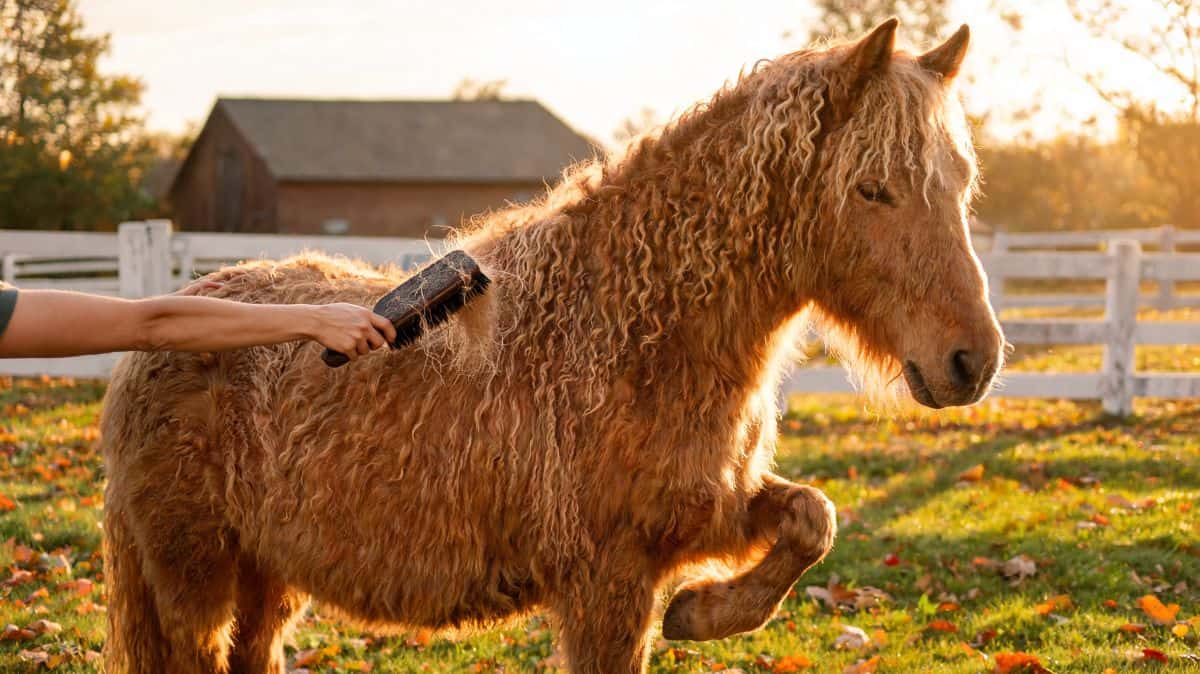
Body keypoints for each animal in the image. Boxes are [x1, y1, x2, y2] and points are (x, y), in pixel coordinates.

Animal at [101, 19, 1002, 674]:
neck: (631, 334)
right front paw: (701, 613)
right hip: (196, 581)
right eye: (873, 189)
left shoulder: (705, 515)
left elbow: (814, 518)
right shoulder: (608, 583)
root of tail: (158, 329)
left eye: (962, 183)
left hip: (266, 577)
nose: (974, 361)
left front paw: (702, 613)